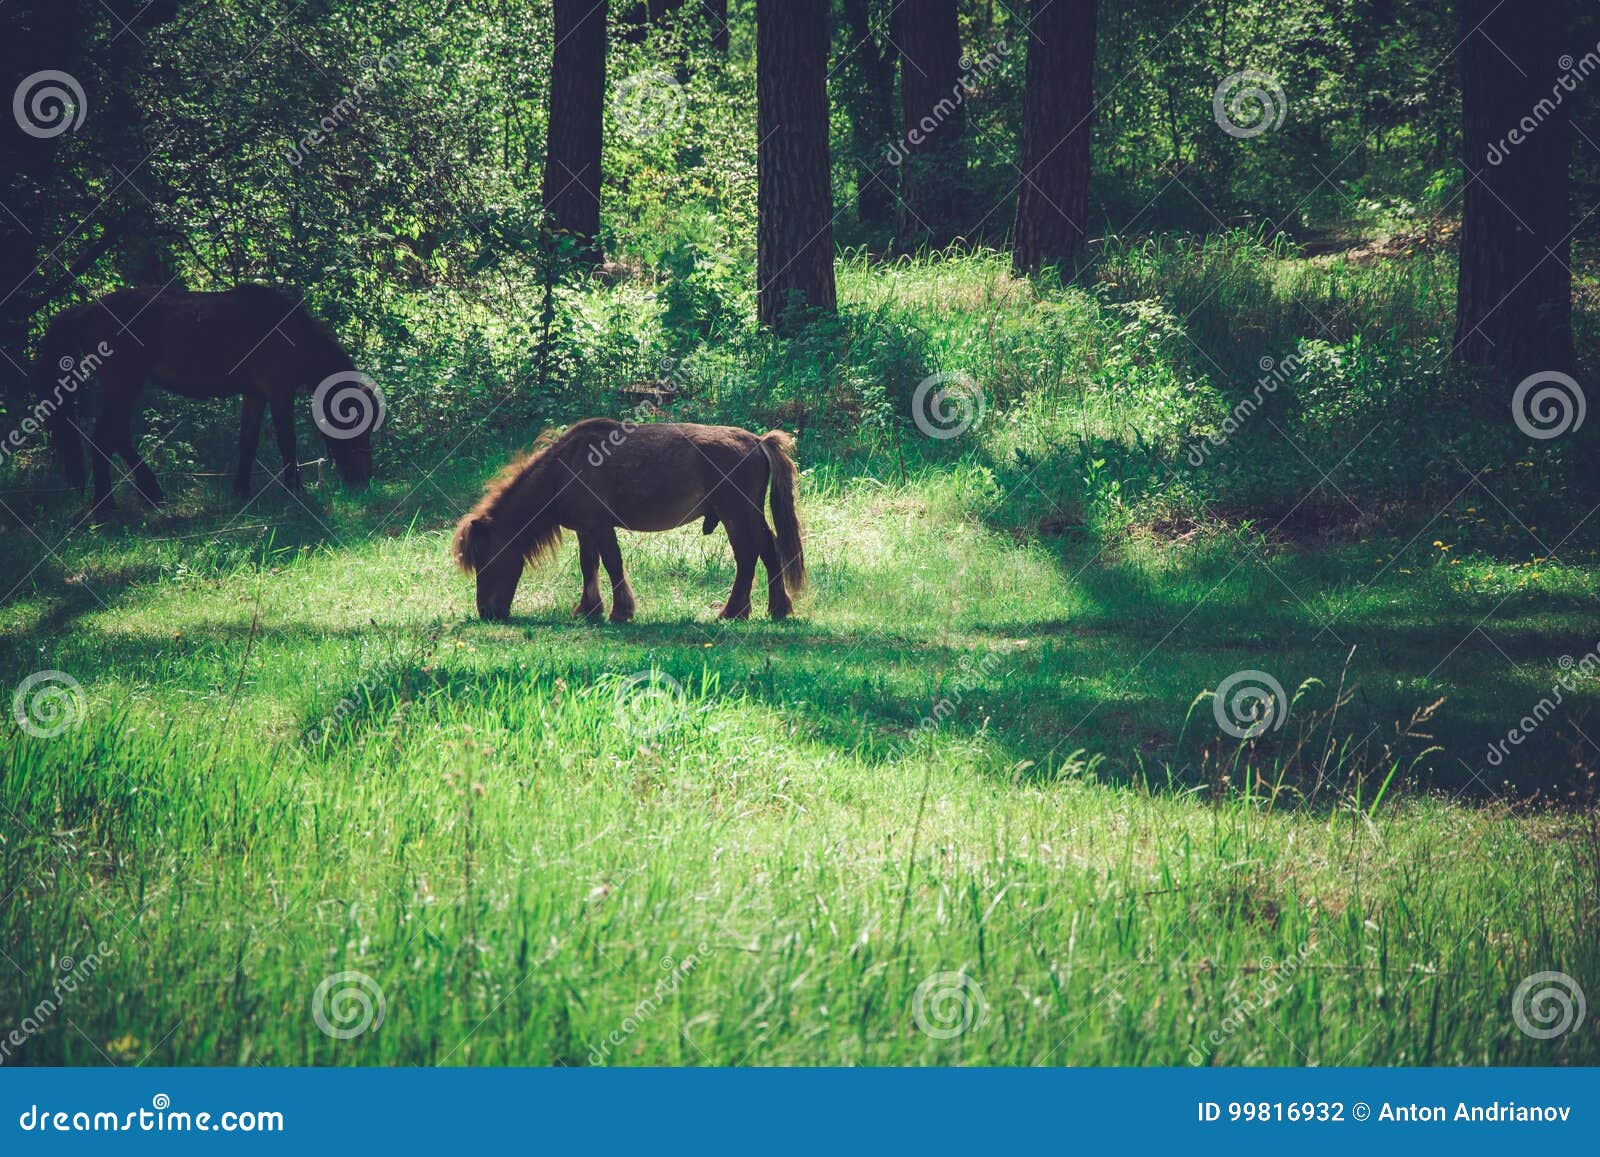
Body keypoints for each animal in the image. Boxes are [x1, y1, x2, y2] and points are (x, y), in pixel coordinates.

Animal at [30, 284, 379, 511]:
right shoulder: (279, 392)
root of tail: (85, 311)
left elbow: (248, 441)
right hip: (123, 385)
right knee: (104, 437)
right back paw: (107, 506)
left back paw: (150, 494)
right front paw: (295, 489)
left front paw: (241, 491)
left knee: (115, 436)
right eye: (356, 427)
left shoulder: (255, 394)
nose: (364, 481)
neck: (291, 332)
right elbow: (287, 441)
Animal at [453, 419, 806, 622]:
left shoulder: (600, 526)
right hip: (748, 516)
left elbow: (612, 563)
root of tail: (758, 442)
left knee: (748, 557)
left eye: (486, 560)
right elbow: (589, 565)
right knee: (768, 551)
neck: (566, 467)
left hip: (737, 515)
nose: (487, 612)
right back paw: (776, 608)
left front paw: (620, 611)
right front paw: (588, 609)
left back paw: (734, 611)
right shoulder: (586, 530)